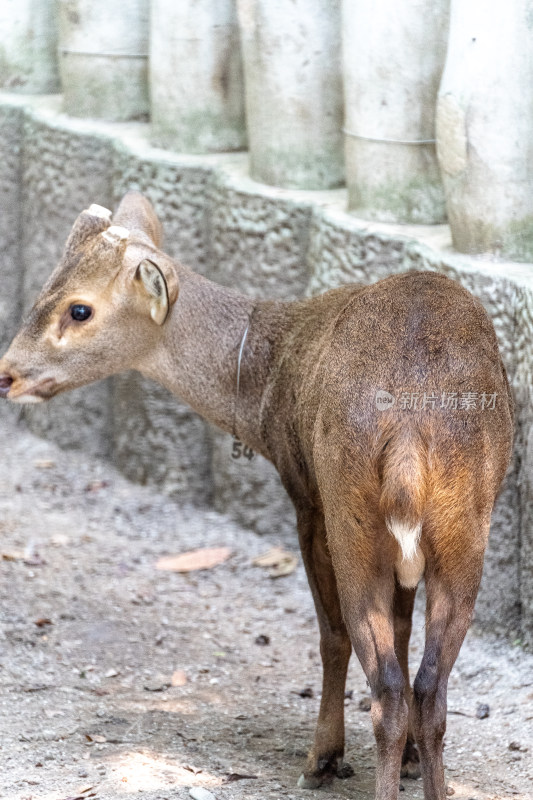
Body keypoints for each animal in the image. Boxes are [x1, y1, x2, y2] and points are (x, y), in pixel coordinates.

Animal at [0, 194, 512, 800]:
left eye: (79, 310)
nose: (7, 374)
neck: (265, 384)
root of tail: (410, 430)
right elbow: (405, 631)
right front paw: (406, 760)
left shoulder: (305, 494)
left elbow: (333, 634)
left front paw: (324, 759)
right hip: (463, 525)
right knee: (431, 687)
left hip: (352, 514)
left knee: (383, 681)